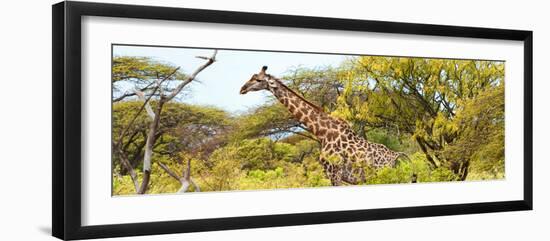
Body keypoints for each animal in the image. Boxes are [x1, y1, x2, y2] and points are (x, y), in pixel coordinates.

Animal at [242, 66, 410, 186]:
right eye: (252, 77)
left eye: (258, 80)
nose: (242, 89)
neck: (322, 133)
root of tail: (397, 156)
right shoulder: (331, 174)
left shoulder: (335, 173)